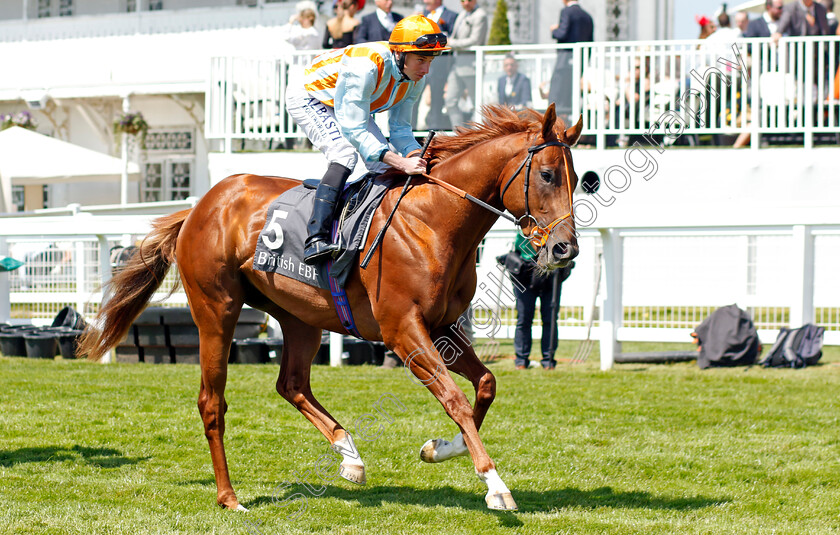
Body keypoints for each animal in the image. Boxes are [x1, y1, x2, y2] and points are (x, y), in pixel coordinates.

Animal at [79, 103, 580, 510]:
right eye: (548, 175)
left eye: (580, 179)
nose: (564, 249)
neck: (433, 222)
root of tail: (200, 206)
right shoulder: (404, 330)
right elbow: (454, 397)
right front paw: (495, 485)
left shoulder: (440, 327)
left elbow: (486, 384)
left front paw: (440, 448)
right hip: (216, 310)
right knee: (212, 401)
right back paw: (229, 496)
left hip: (300, 316)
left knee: (291, 383)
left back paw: (350, 455)